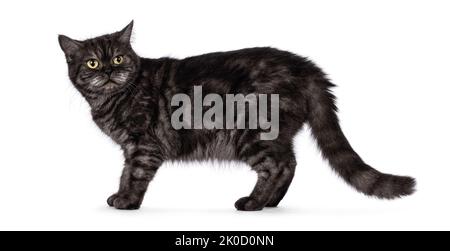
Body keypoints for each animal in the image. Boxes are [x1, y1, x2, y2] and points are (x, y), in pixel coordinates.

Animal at [59, 21, 414, 210]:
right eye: (92, 62)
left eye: (119, 58)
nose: (107, 70)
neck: (111, 99)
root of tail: (306, 67)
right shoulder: (132, 147)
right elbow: (125, 173)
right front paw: (121, 196)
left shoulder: (143, 146)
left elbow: (133, 174)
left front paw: (127, 200)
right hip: (275, 134)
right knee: (290, 163)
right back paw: (270, 202)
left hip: (252, 132)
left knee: (277, 166)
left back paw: (253, 202)